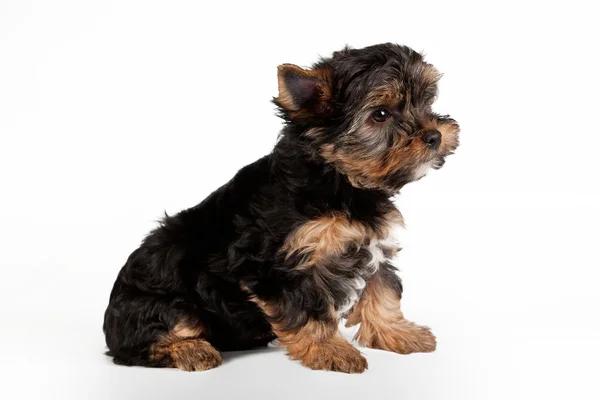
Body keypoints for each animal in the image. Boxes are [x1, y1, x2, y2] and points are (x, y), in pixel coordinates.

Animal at [103, 42, 460, 374]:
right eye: (381, 114)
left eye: (426, 102)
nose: (434, 135)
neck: (338, 180)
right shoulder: (277, 263)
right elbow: (309, 308)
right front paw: (330, 350)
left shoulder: (373, 244)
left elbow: (383, 290)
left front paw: (398, 332)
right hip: (163, 305)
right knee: (142, 344)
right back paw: (192, 350)